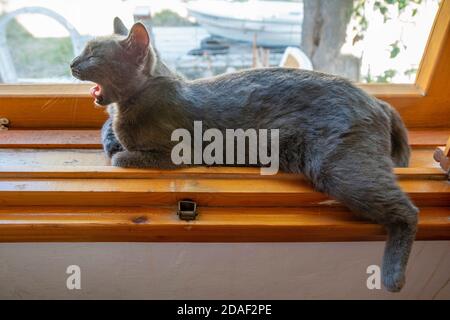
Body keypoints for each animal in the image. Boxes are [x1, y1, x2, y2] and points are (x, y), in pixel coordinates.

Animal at [70, 18, 418, 292]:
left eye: (94, 54)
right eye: (84, 51)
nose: (73, 62)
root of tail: (376, 100)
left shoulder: (174, 152)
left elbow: (122, 156)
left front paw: (119, 149)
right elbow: (111, 139)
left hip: (340, 166)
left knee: (408, 211)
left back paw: (393, 276)